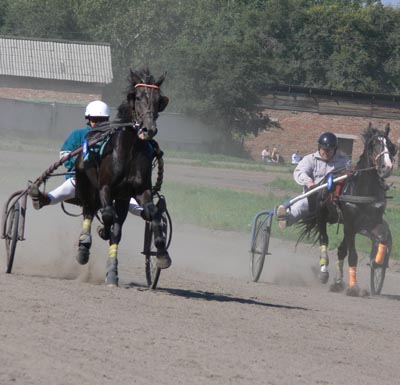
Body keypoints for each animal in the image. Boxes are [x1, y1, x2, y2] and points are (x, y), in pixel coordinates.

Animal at [74, 67, 170, 284]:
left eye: (158, 99)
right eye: (137, 97)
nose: (148, 129)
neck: (129, 150)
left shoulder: (140, 190)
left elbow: (152, 212)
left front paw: (161, 253)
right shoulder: (104, 188)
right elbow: (108, 215)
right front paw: (102, 230)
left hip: (122, 199)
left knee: (116, 226)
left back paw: (112, 272)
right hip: (86, 187)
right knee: (89, 211)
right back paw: (84, 246)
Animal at [300, 123, 396, 294]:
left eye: (390, 145)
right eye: (373, 144)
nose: (387, 167)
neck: (363, 191)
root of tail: (325, 181)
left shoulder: (371, 223)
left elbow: (383, 238)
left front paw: (377, 262)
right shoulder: (351, 225)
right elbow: (353, 256)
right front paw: (354, 287)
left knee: (341, 250)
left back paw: (338, 282)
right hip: (322, 216)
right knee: (324, 240)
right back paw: (324, 271)